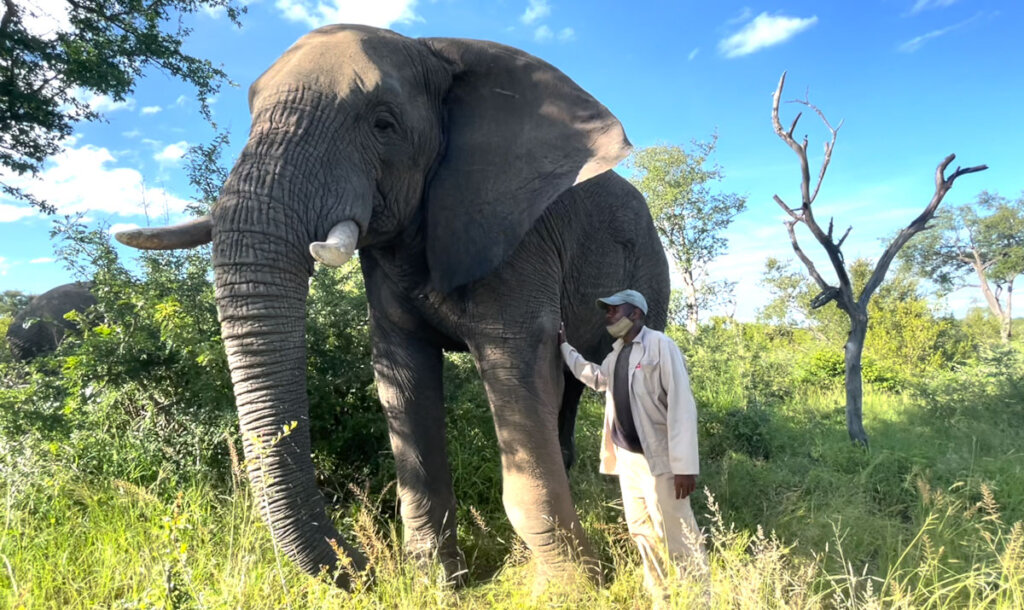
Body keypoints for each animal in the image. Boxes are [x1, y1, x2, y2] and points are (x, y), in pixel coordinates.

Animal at [116, 25, 670, 587]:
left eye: (384, 124)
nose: (366, 571)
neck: (435, 48)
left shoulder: (519, 235)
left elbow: (515, 366)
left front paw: (577, 584)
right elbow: (403, 378)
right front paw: (437, 583)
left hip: (652, 270)